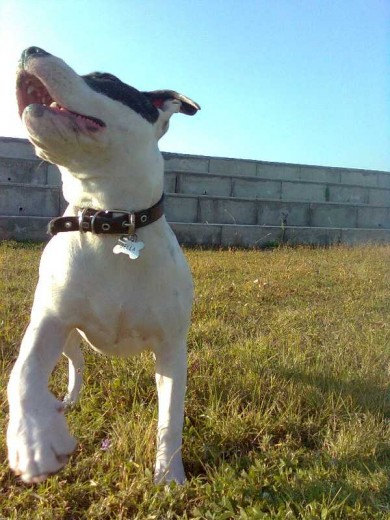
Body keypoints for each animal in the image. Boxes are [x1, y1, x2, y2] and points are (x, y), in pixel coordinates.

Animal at [6, 46, 201, 486]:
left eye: (106, 79)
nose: (29, 50)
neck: (108, 221)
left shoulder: (171, 348)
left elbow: (171, 417)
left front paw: (168, 477)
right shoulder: (49, 321)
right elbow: (22, 374)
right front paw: (34, 441)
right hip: (68, 340)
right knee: (75, 369)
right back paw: (63, 405)